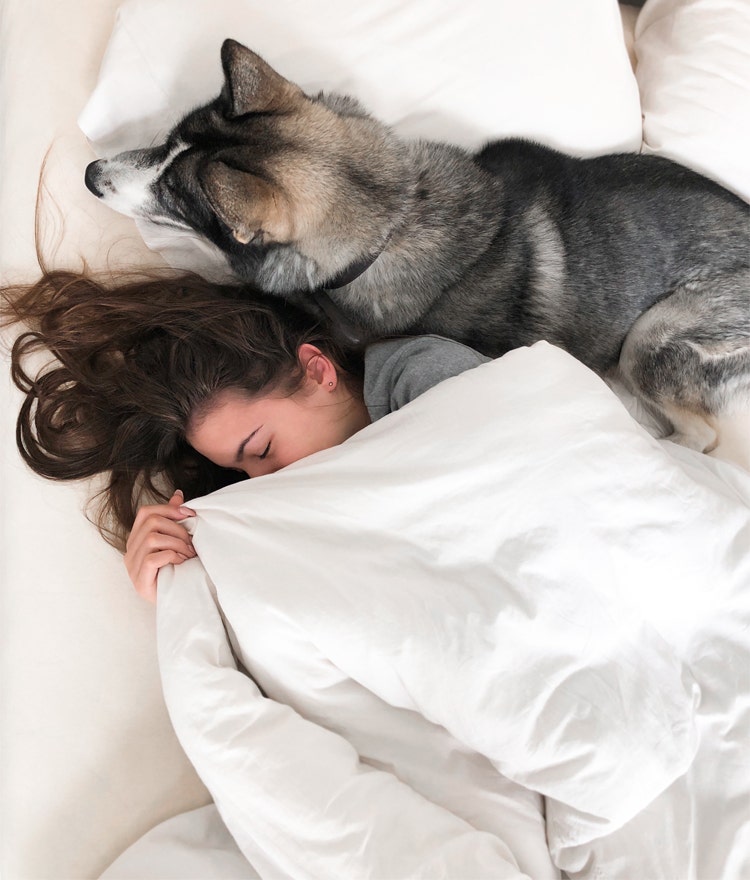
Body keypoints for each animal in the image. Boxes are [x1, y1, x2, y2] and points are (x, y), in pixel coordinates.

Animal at [83, 37, 750, 454]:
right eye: (164, 141)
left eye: (173, 195)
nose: (90, 174)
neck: (393, 219)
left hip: (649, 341)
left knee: (698, 435)